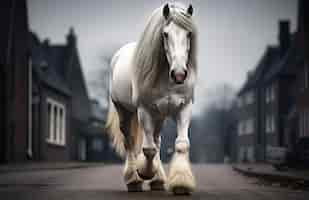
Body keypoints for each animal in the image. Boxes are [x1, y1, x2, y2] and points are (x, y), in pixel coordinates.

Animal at [106, 2, 197, 195]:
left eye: (188, 33)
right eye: (165, 34)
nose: (179, 74)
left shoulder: (184, 108)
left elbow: (181, 143)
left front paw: (181, 183)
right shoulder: (145, 110)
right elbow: (147, 149)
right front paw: (145, 173)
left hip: (159, 115)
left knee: (156, 140)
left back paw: (158, 179)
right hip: (124, 111)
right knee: (130, 141)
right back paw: (133, 180)